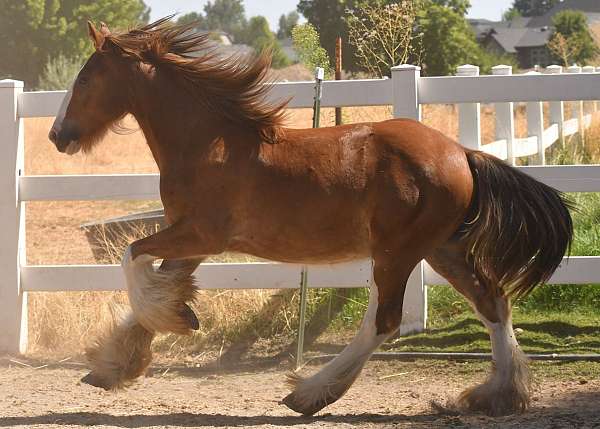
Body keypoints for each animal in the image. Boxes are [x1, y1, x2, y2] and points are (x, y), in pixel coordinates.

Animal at [48, 18, 572, 416]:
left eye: (86, 78)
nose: (58, 135)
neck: (207, 145)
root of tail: (461, 153)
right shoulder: (191, 243)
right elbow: (153, 286)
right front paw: (115, 364)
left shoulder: (200, 234)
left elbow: (132, 259)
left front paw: (175, 323)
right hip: (443, 249)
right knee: (493, 301)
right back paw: (499, 395)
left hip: (398, 252)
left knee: (385, 320)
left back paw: (309, 393)